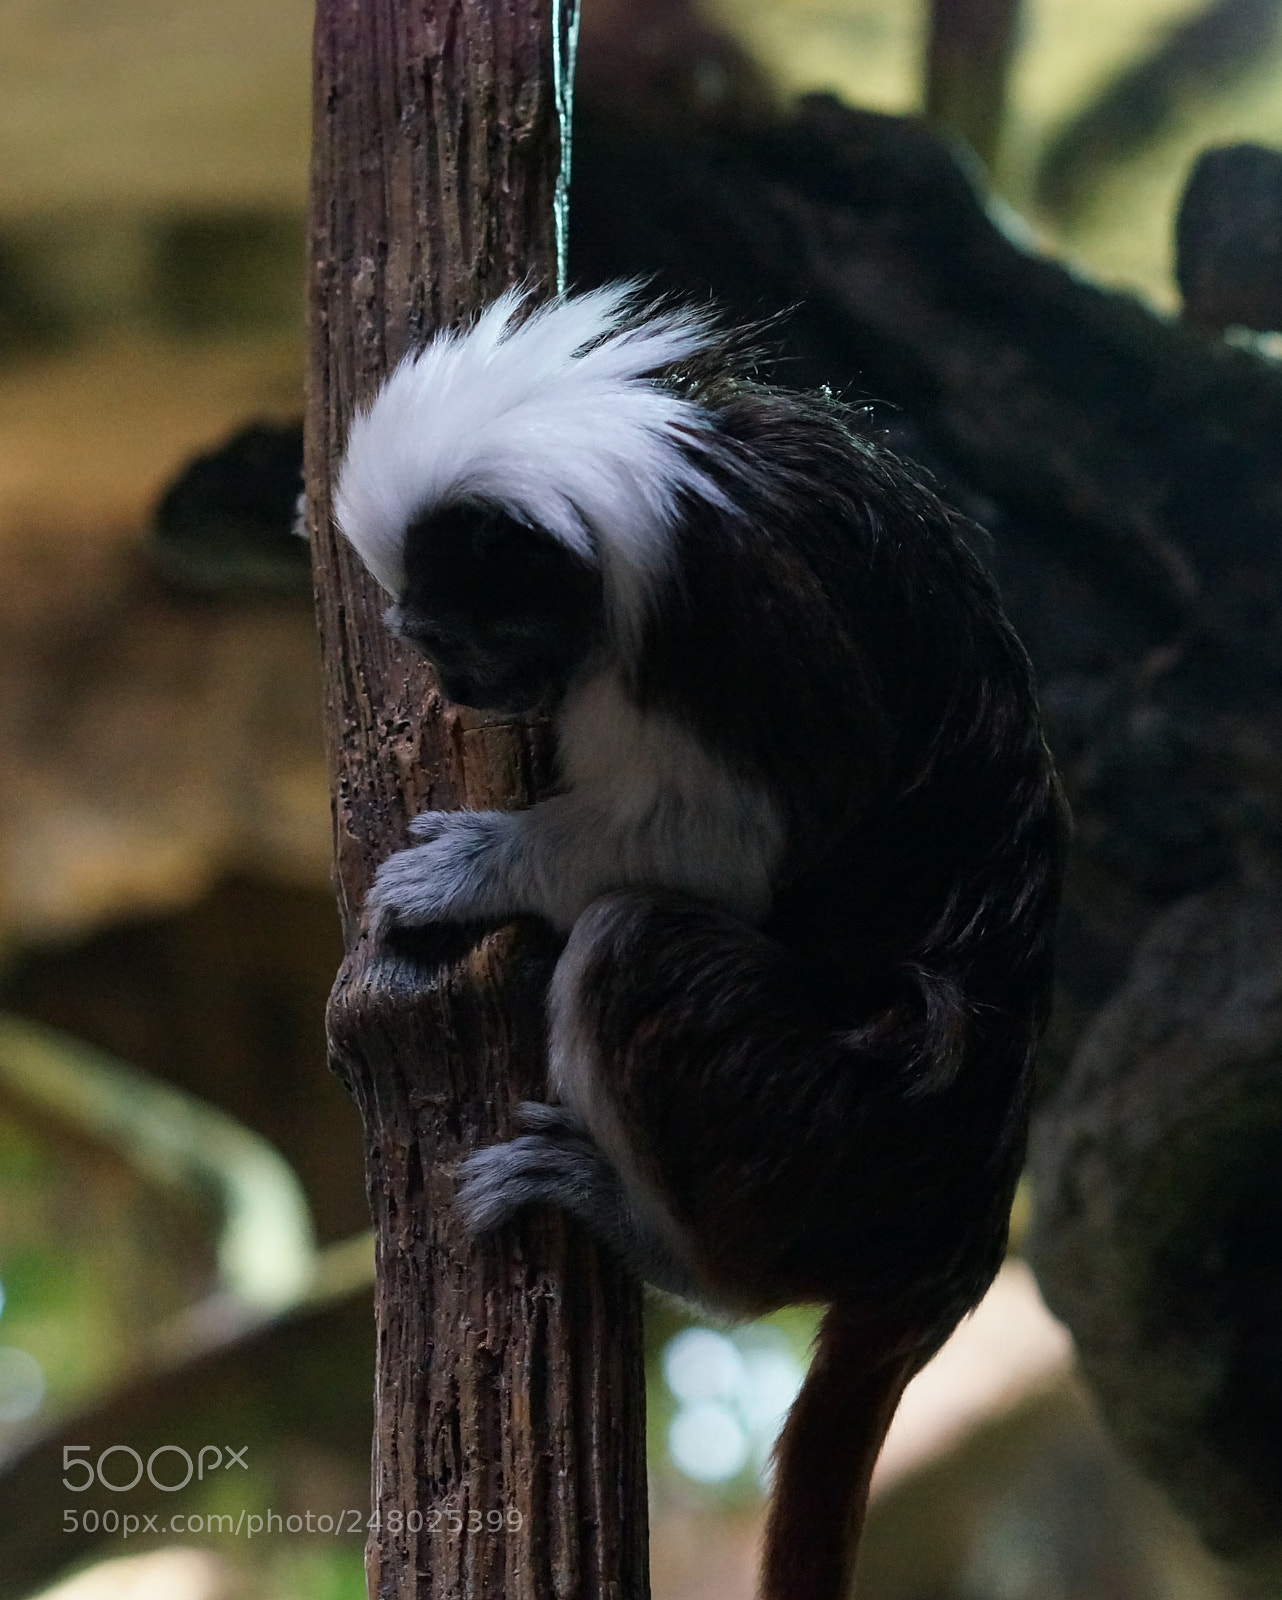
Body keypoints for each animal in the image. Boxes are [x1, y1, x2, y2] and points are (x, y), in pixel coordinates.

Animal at [333, 284, 1068, 1600]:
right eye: (429, 642)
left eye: (463, 632)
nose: (460, 687)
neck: (670, 494)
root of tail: (956, 1229)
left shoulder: (731, 625)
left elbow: (734, 848)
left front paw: (474, 868)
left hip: (818, 1120)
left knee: (634, 940)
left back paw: (658, 1237)